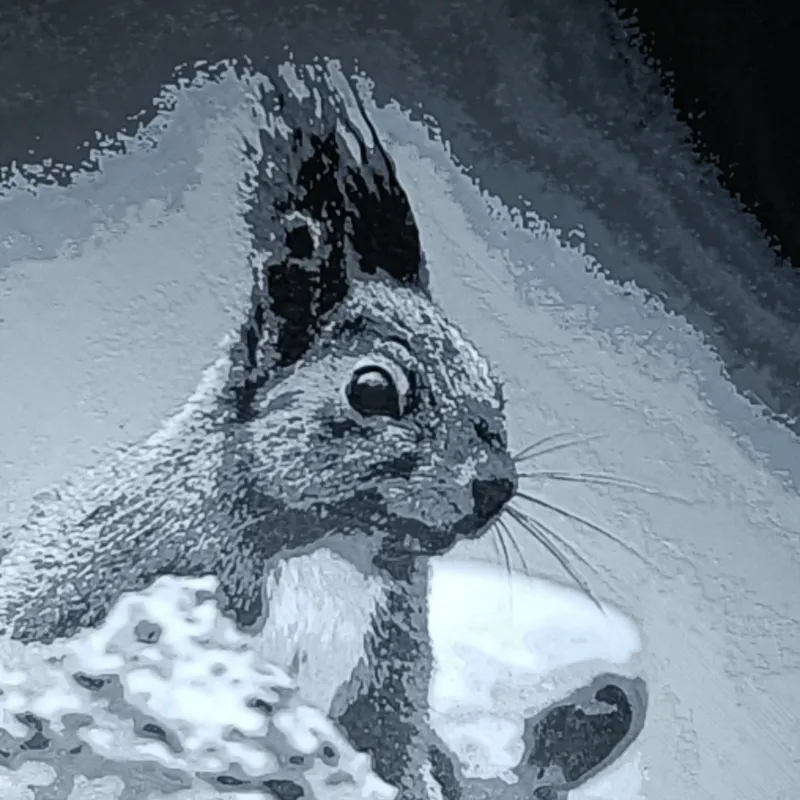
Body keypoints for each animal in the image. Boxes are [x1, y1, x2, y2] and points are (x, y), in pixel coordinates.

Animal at [0, 66, 519, 800]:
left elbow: (397, 758)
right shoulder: (110, 571)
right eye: (372, 390)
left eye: (493, 383)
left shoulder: (390, 688)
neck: (335, 549)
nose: (497, 486)